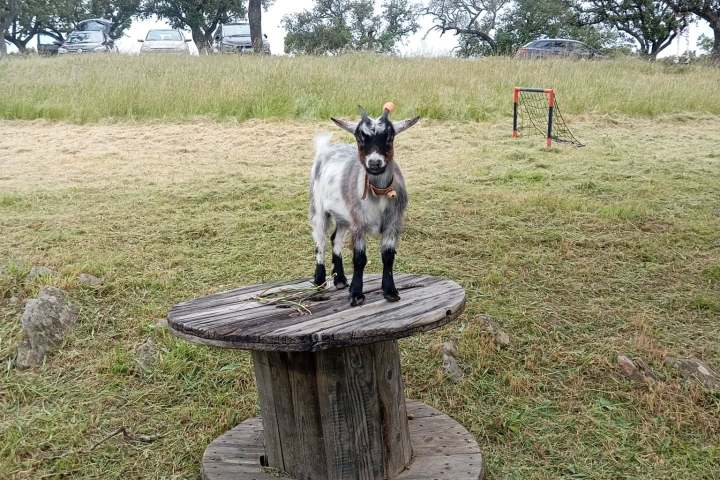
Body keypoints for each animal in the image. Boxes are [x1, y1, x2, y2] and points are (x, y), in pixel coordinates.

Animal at [309, 106, 420, 306]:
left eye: (390, 137)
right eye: (359, 137)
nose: (374, 163)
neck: (379, 193)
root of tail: (327, 148)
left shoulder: (393, 222)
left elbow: (388, 256)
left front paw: (390, 291)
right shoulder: (359, 222)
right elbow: (360, 258)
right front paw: (356, 294)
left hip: (344, 217)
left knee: (335, 239)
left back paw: (340, 280)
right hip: (318, 208)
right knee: (320, 240)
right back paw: (320, 280)